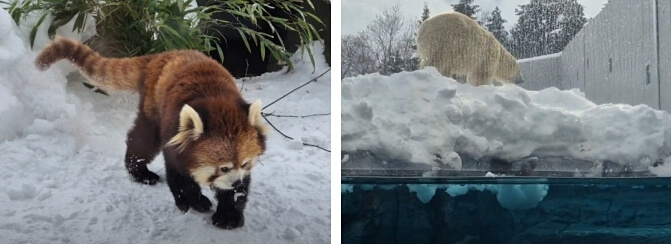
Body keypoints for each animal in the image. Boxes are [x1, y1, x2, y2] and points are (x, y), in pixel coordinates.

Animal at [36, 36, 270, 229]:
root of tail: (163, 55)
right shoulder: (173, 135)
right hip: (153, 108)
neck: (216, 103)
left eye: (245, 164)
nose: (236, 182)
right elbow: (179, 177)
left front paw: (229, 214)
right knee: (142, 141)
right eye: (223, 168)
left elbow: (237, 191)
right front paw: (193, 201)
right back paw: (140, 172)